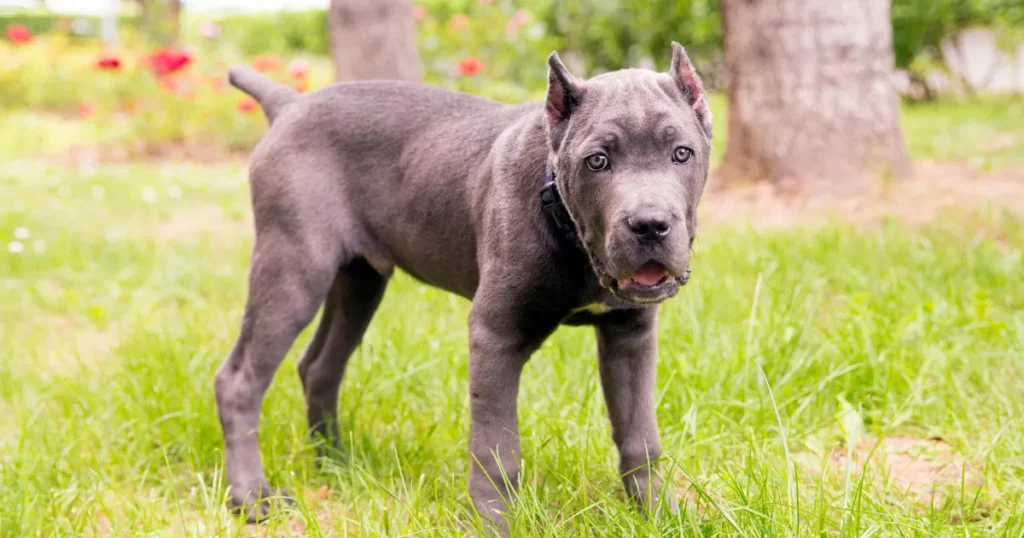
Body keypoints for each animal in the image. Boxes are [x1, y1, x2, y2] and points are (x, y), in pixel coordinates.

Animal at [216, 43, 712, 532]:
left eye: (681, 154)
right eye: (598, 161)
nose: (649, 224)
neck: (562, 216)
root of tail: (289, 104)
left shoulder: (630, 335)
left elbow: (639, 435)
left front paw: (656, 515)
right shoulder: (495, 334)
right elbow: (496, 451)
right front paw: (494, 523)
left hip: (359, 281)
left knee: (319, 367)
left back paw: (335, 463)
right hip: (293, 266)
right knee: (239, 380)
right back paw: (252, 498)